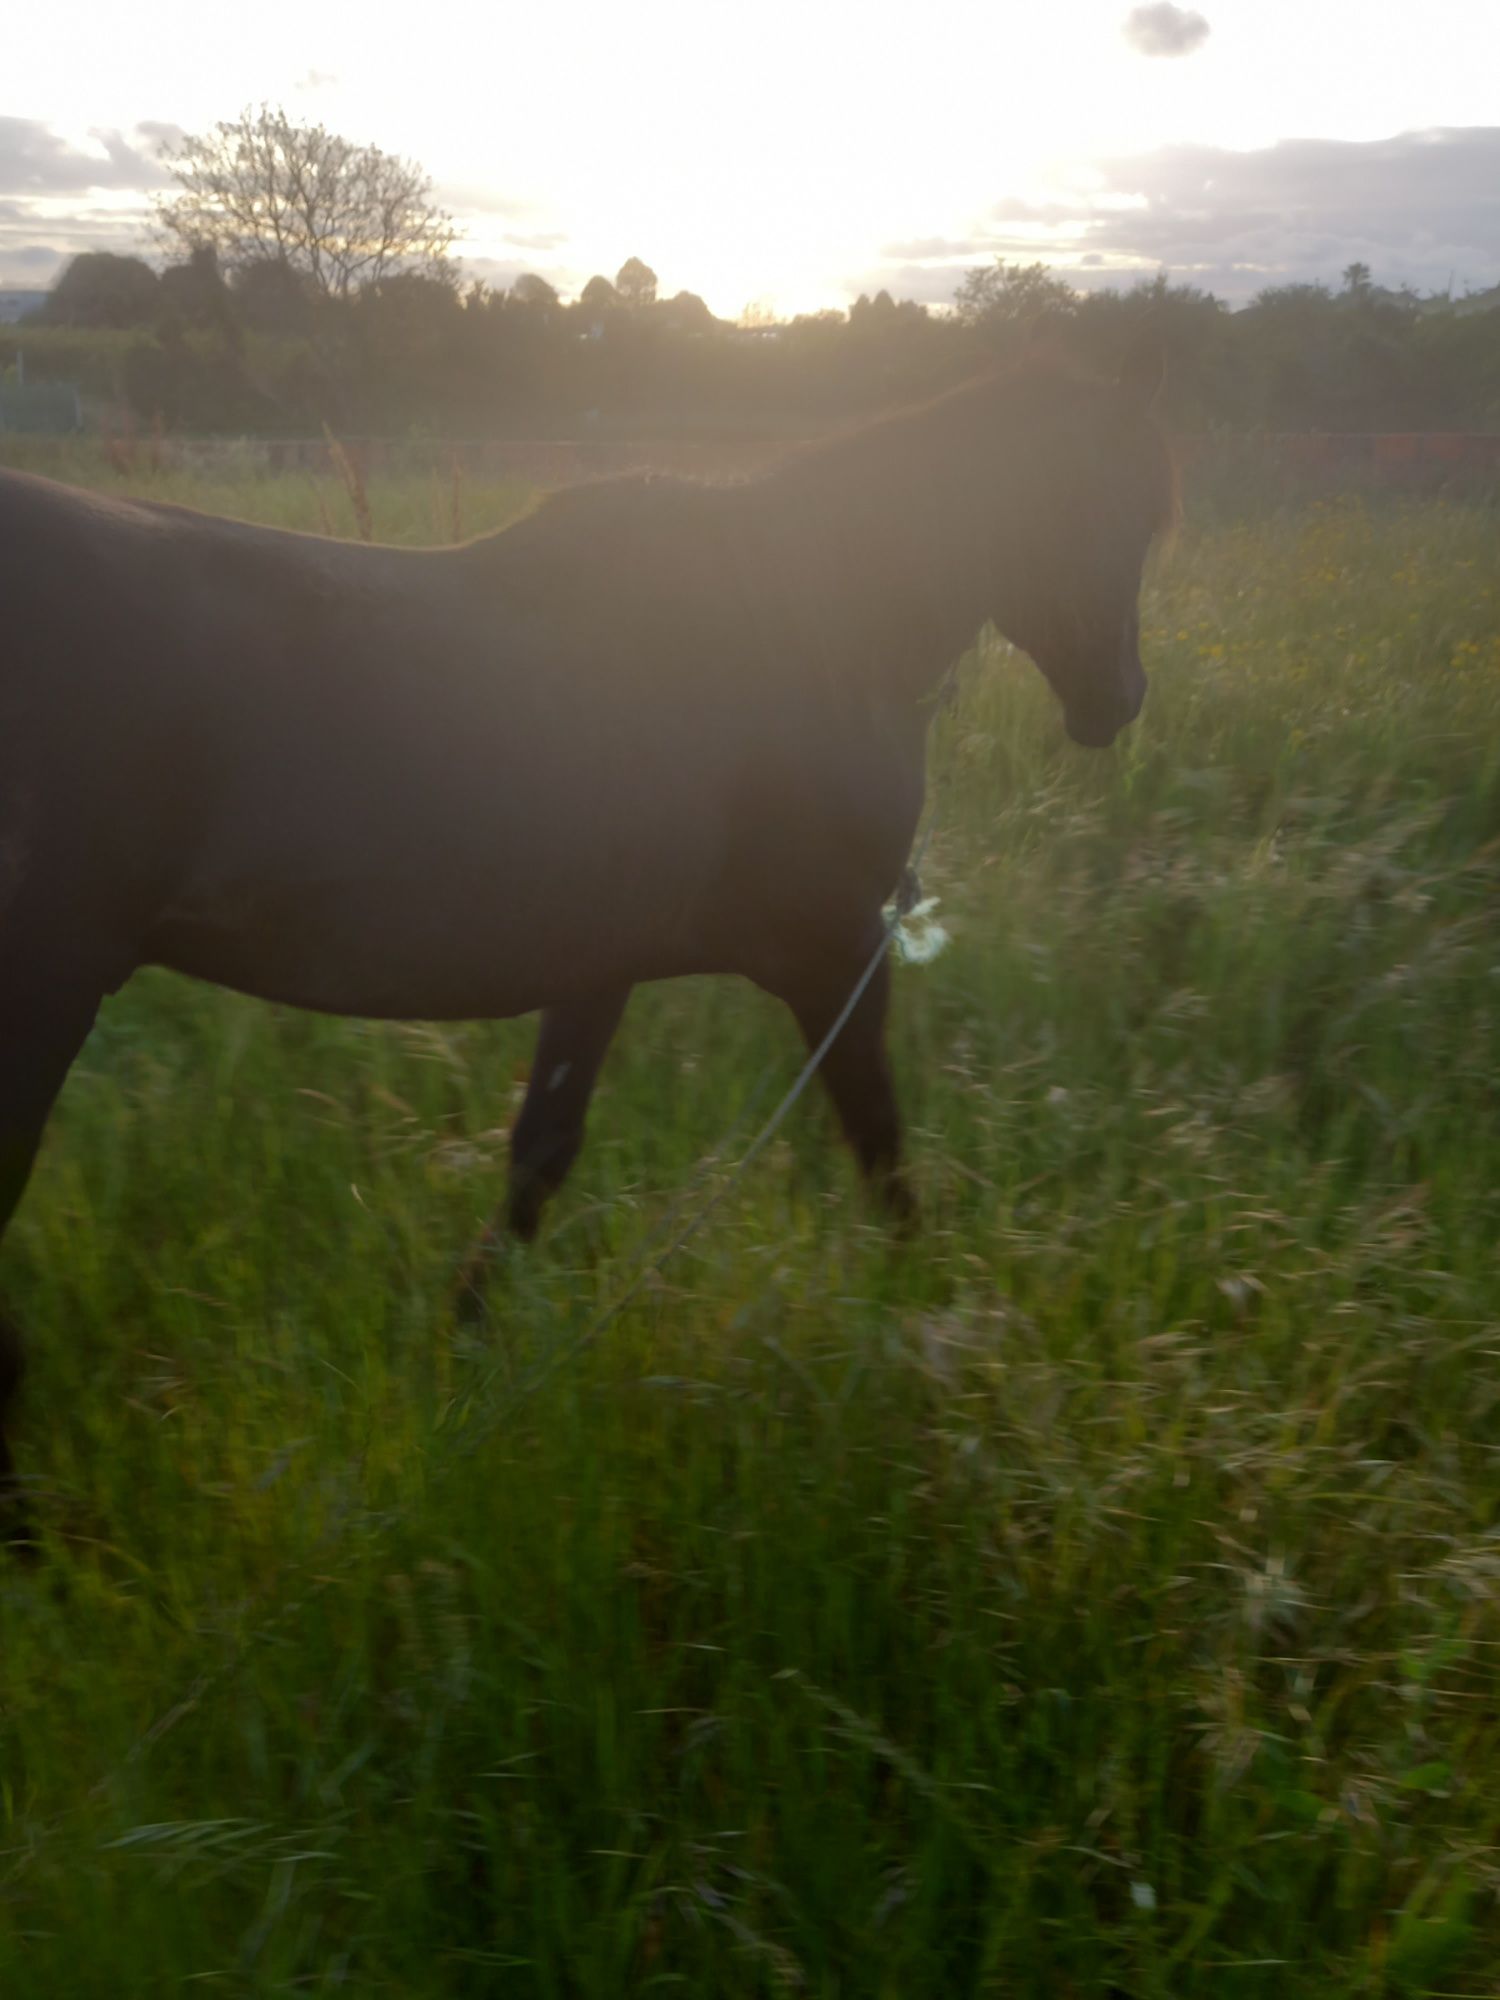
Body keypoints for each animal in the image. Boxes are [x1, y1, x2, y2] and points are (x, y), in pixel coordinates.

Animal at [0, 340, 1176, 1512]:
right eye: (1121, 507)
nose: (1119, 698)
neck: (799, 630)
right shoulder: (833, 957)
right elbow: (882, 1147)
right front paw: (933, 1322)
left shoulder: (599, 961)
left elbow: (541, 1153)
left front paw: (461, 1351)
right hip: (44, 999)